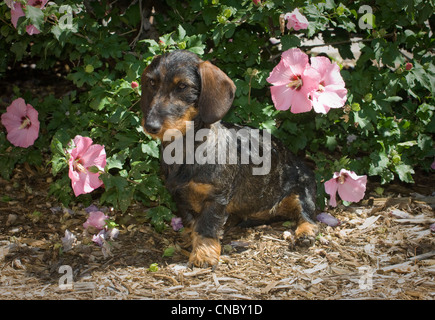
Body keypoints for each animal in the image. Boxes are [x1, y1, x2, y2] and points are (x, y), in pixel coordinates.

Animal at [141, 50, 318, 268]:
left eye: (182, 86)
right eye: (152, 83)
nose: (150, 125)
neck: (186, 148)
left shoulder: (216, 198)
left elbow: (207, 226)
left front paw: (203, 253)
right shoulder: (181, 198)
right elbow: (192, 222)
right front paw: (191, 239)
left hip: (302, 192)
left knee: (307, 216)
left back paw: (305, 234)